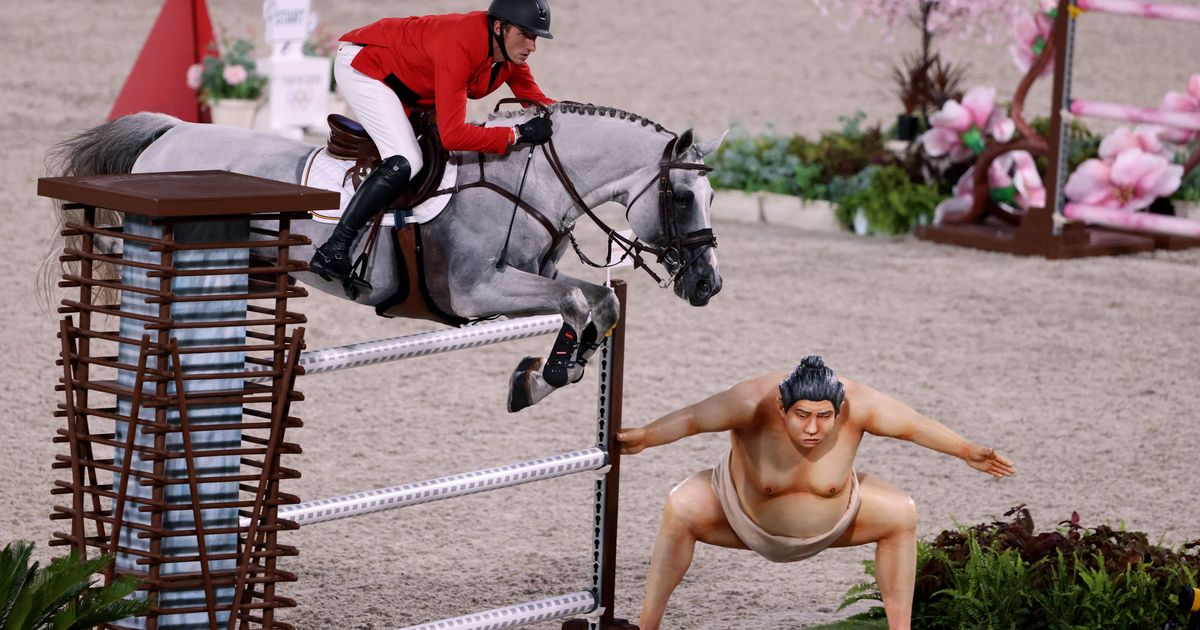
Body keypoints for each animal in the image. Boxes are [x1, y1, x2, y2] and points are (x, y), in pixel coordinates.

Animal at [51, 104, 724, 408]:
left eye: (714, 195)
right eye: (683, 197)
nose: (709, 286)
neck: (529, 182)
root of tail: (169, 130)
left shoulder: (534, 275)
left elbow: (596, 300)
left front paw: (543, 375)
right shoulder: (473, 292)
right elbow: (579, 302)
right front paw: (552, 373)